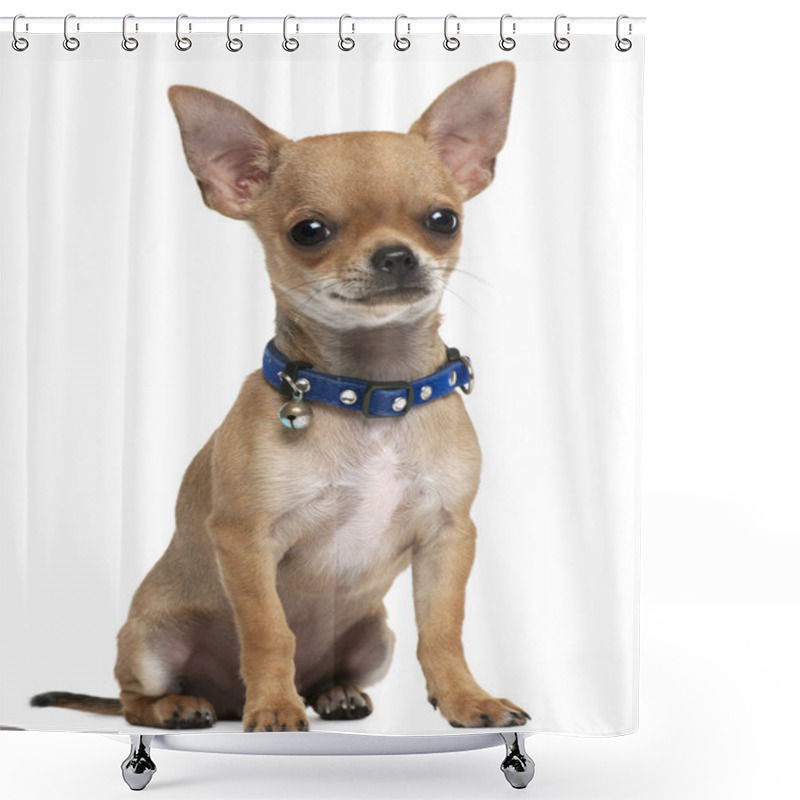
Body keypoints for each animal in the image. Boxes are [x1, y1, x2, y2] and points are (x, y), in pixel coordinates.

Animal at [32, 61, 532, 732]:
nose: (397, 255)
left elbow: (442, 631)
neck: (367, 394)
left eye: (442, 220)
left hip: (375, 638)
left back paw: (336, 693)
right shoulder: (246, 540)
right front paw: (273, 707)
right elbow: (270, 631)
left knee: (334, 670)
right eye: (309, 232)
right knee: (136, 698)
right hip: (150, 640)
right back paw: (182, 706)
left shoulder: (447, 538)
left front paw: (466, 699)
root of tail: (223, 697)